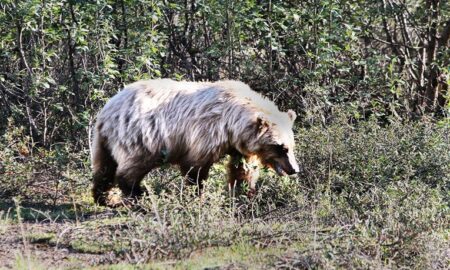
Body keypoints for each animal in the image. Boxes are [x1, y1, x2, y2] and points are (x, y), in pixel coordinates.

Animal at [91, 79, 298, 206]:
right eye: (281, 147)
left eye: (291, 145)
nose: (294, 169)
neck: (231, 124)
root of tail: (106, 110)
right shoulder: (205, 132)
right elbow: (195, 167)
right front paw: (197, 195)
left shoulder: (239, 146)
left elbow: (242, 169)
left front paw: (244, 192)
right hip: (142, 136)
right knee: (131, 168)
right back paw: (138, 195)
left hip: (104, 140)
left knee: (104, 167)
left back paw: (103, 197)